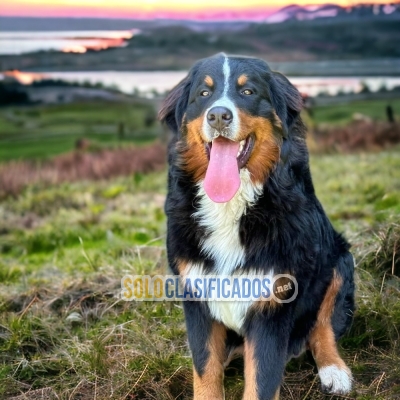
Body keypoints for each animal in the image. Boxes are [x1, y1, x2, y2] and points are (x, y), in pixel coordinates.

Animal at [158, 54, 354, 400]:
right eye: (203, 94)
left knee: (322, 326)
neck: (231, 205)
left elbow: (262, 380)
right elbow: (205, 369)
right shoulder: (197, 294)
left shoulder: (272, 303)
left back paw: (335, 370)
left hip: (339, 261)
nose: (218, 116)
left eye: (248, 91)